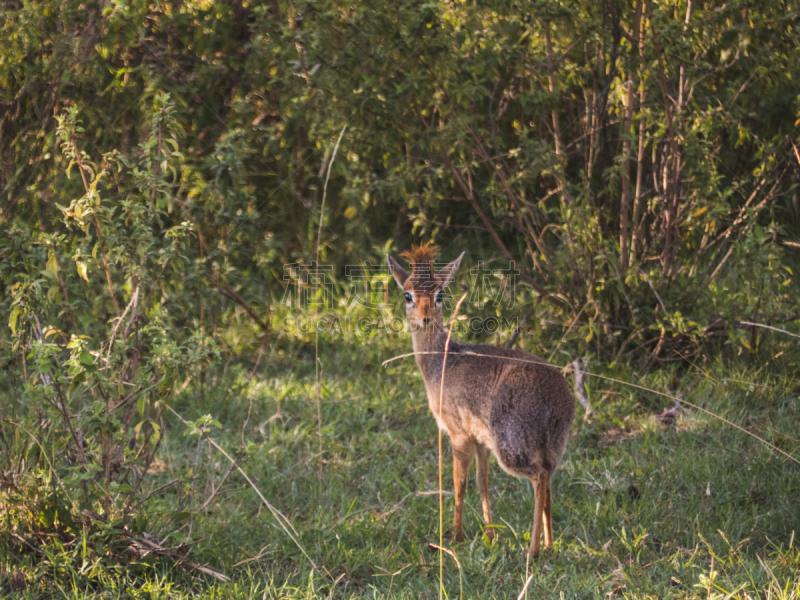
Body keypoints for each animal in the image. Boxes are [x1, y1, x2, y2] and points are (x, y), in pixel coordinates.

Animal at [390, 244, 572, 556]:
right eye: (407, 294)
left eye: (440, 293)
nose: (425, 318)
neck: (441, 364)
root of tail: (558, 400)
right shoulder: (481, 441)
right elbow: (483, 484)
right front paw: (490, 536)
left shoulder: (458, 434)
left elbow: (459, 485)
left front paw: (455, 538)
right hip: (551, 449)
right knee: (548, 481)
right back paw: (548, 545)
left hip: (512, 446)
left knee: (538, 478)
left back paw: (533, 550)